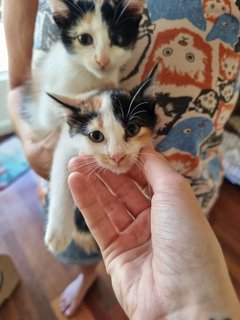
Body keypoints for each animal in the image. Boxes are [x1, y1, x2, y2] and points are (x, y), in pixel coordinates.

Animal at [44, 67, 158, 252]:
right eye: (96, 136)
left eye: (132, 129)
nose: (117, 155)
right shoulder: (67, 144)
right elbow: (61, 177)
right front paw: (58, 233)